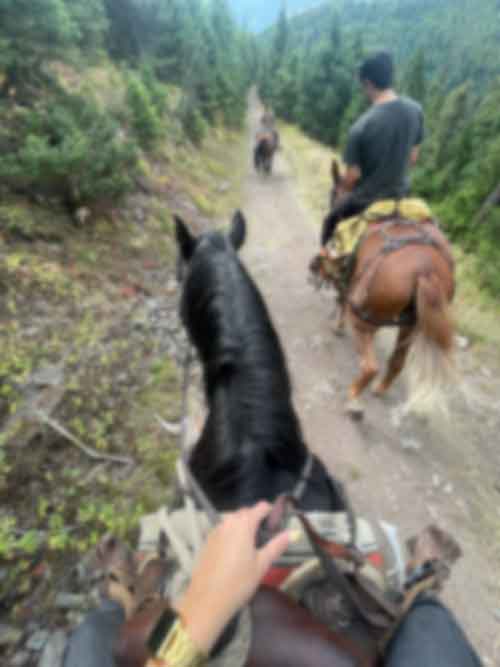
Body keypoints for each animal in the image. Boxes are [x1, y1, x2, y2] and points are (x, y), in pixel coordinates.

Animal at [313, 159, 455, 419]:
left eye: (334, 191)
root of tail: (426, 269)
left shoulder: (349, 282)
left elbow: (341, 297)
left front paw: (337, 327)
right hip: (411, 325)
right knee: (397, 362)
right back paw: (379, 389)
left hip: (363, 316)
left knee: (370, 366)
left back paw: (354, 400)